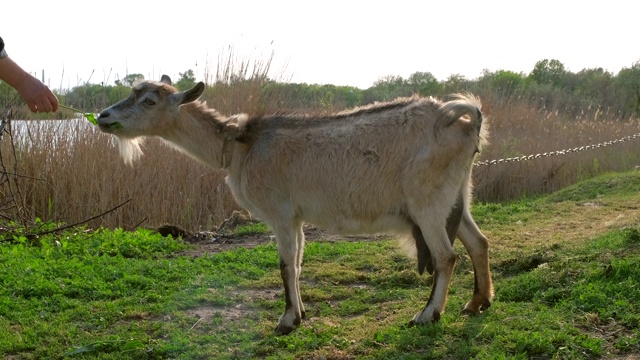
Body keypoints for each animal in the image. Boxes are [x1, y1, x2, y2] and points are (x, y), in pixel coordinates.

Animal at [96, 76, 496, 334]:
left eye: (149, 101)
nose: (102, 116)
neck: (239, 147)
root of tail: (467, 122)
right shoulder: (298, 217)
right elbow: (300, 264)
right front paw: (300, 313)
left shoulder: (281, 213)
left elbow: (286, 265)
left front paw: (287, 321)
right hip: (457, 197)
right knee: (478, 242)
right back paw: (477, 303)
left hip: (427, 200)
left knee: (446, 256)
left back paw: (427, 315)